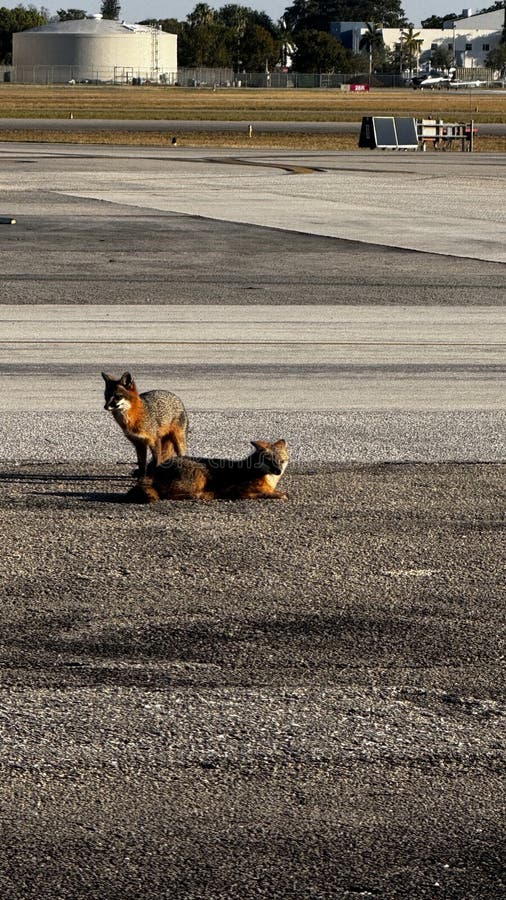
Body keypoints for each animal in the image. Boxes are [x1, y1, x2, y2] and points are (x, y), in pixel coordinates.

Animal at [125, 440, 288, 502]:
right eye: (269, 461)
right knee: (168, 494)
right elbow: (264, 493)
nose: (278, 471)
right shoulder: (239, 490)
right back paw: (202, 495)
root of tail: (160, 467)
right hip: (199, 475)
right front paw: (278, 494)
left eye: (281, 461)